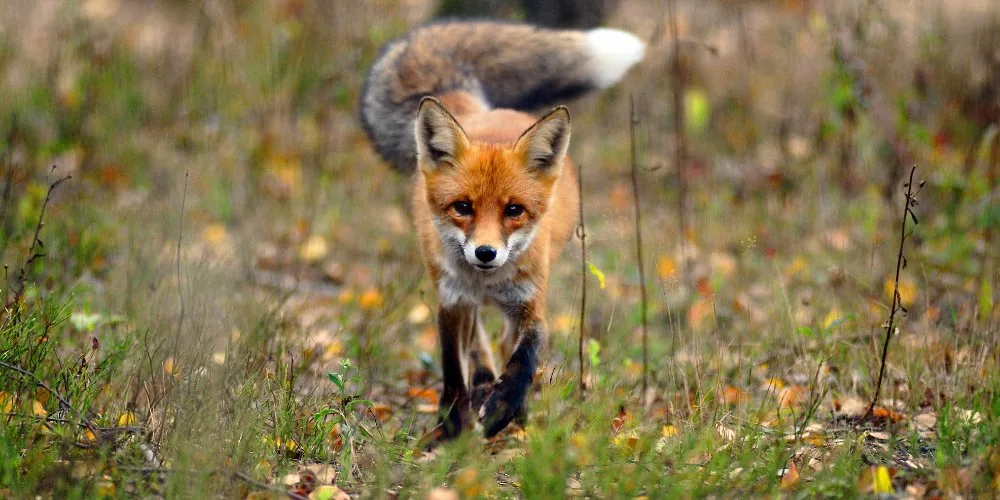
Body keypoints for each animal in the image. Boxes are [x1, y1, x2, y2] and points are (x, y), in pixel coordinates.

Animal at [360, 21, 645, 440]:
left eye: (514, 211)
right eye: (463, 207)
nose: (485, 253)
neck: (487, 283)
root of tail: (480, 112)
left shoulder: (530, 304)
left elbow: (525, 358)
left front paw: (503, 409)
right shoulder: (451, 301)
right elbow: (452, 368)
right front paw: (452, 424)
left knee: (503, 345)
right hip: (451, 290)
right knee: (477, 342)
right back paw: (480, 385)